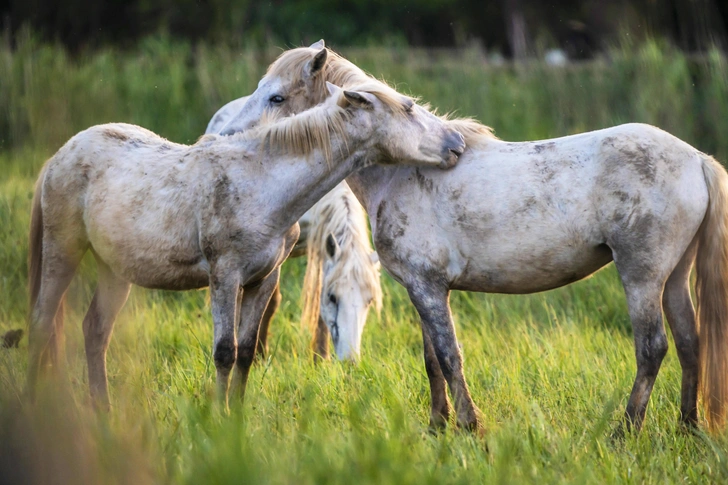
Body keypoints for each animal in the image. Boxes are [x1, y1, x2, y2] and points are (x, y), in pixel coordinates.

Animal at [27, 82, 466, 408]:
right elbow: (224, 350)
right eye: (409, 109)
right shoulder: (225, 276)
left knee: (94, 332)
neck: (262, 182)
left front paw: (235, 423)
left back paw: (102, 410)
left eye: (371, 301)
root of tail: (59, 156)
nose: (457, 143)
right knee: (42, 324)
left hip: (115, 270)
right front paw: (217, 421)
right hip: (63, 251)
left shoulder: (262, 279)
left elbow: (246, 350)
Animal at [219, 43, 728, 432]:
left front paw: (468, 425)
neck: (404, 168)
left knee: (653, 348)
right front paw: (437, 426)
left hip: (642, 277)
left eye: (276, 97)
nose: (225, 134)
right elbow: (432, 360)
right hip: (674, 277)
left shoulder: (428, 287)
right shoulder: (423, 289)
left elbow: (449, 356)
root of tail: (695, 158)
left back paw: (625, 431)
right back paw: (687, 427)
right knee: (690, 342)